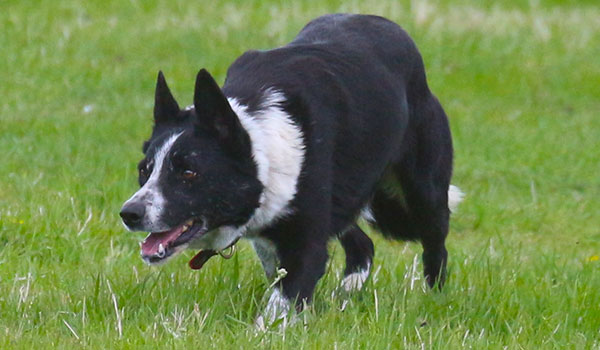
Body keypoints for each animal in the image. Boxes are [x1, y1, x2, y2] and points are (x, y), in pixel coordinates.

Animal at [118, 13, 464, 326]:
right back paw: (348, 293)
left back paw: (433, 299)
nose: (129, 213)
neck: (262, 141)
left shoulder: (306, 241)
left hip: (424, 193)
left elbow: (284, 298)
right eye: (144, 170)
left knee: (436, 246)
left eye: (189, 173)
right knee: (362, 243)